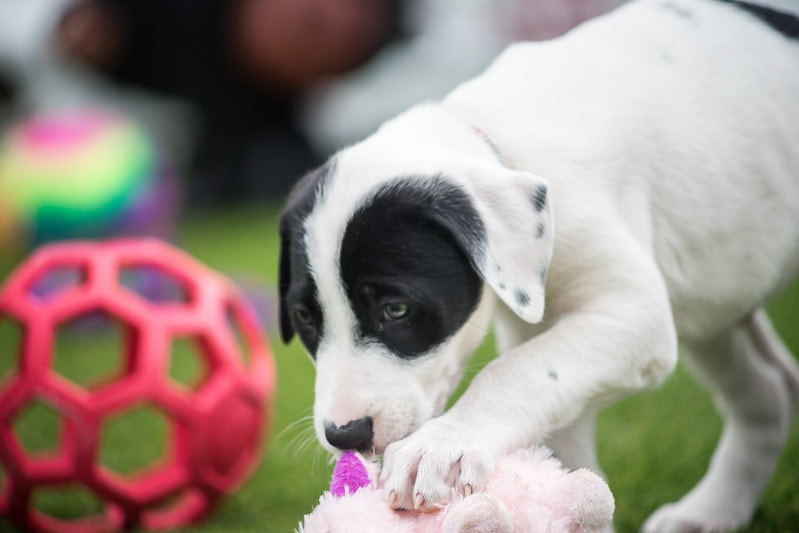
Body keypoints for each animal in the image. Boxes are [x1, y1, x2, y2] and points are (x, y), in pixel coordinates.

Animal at [280, 2, 799, 528]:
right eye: (303, 318)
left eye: (395, 309)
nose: (344, 435)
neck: (498, 141)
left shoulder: (633, 314)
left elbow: (516, 371)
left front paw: (442, 445)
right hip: (717, 295)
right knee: (768, 391)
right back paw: (710, 512)